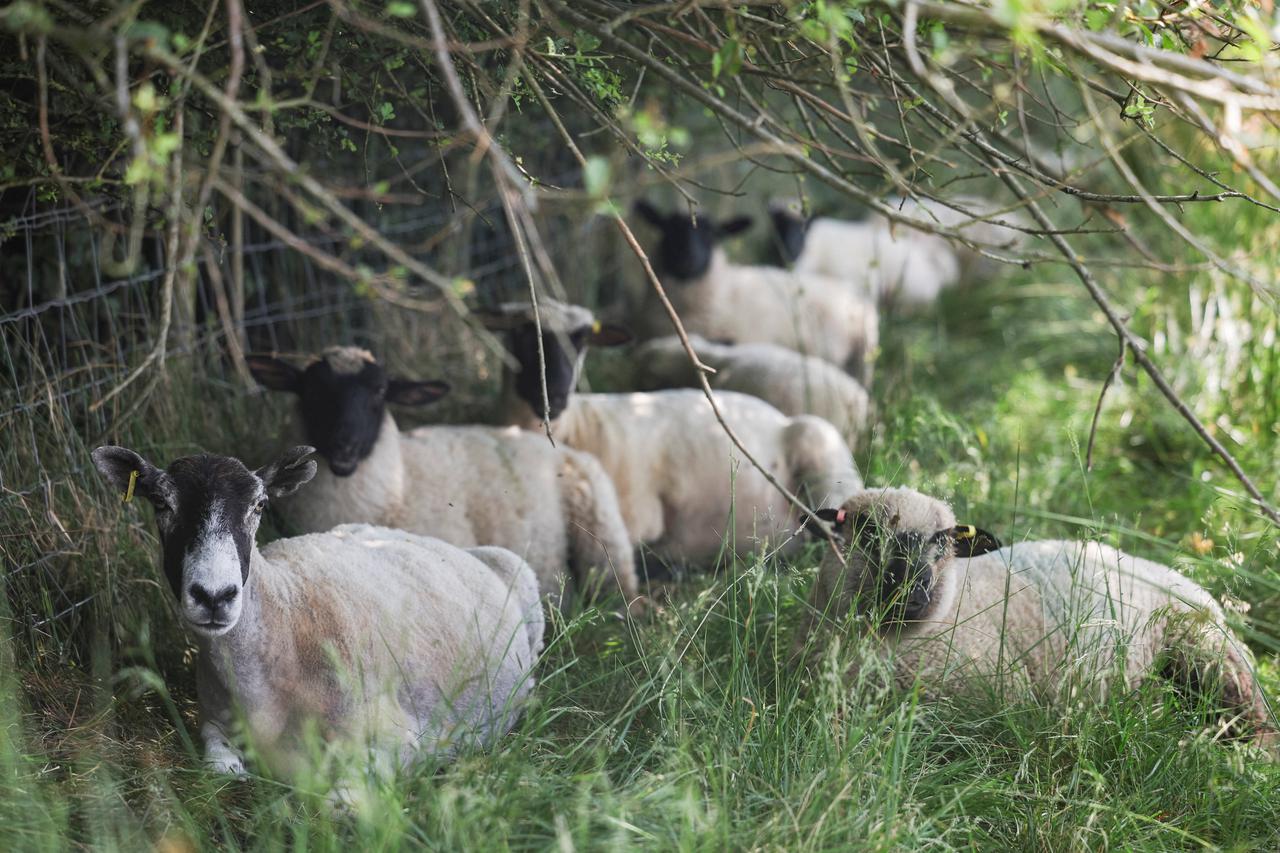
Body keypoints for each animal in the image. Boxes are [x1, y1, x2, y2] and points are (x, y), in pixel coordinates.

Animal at [91, 444, 544, 779]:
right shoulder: (214, 723)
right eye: (161, 504)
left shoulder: (399, 738)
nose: (214, 596)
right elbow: (220, 764)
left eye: (259, 505)